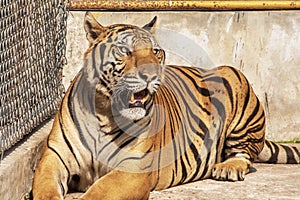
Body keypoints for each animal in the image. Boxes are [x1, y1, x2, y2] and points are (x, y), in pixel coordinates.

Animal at [31, 12, 298, 200]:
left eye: (156, 51)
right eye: (125, 50)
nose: (151, 74)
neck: (104, 113)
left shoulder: (133, 168)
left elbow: (99, 192)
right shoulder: (53, 159)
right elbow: (44, 189)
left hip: (233, 77)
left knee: (245, 154)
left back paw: (228, 168)